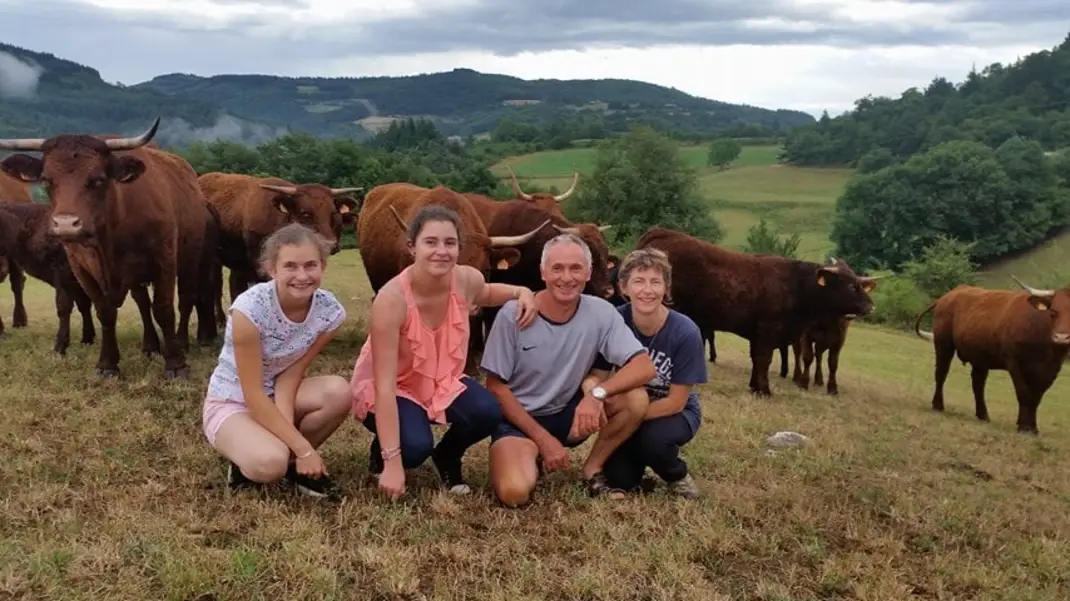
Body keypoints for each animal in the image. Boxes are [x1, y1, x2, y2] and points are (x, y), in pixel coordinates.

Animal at [0, 118, 217, 376]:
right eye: (46, 180)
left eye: (97, 179)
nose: (66, 225)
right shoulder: (81, 270)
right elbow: (104, 311)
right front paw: (107, 364)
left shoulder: (164, 261)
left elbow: (164, 309)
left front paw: (176, 364)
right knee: (143, 304)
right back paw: (150, 346)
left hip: (189, 261)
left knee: (184, 300)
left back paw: (181, 342)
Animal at [633, 226, 877, 395]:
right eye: (851, 285)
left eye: (858, 282)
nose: (870, 306)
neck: (796, 285)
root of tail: (662, 232)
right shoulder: (769, 330)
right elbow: (764, 359)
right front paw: (764, 390)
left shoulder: (759, 334)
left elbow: (756, 359)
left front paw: (754, 387)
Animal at [911, 275, 1070, 434]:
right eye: (1053, 312)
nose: (1061, 337)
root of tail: (952, 293)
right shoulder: (1014, 362)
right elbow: (1024, 393)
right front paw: (1024, 426)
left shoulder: (1051, 370)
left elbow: (1036, 397)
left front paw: (1033, 428)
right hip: (944, 345)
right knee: (941, 373)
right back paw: (938, 405)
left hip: (980, 357)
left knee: (978, 384)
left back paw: (983, 415)